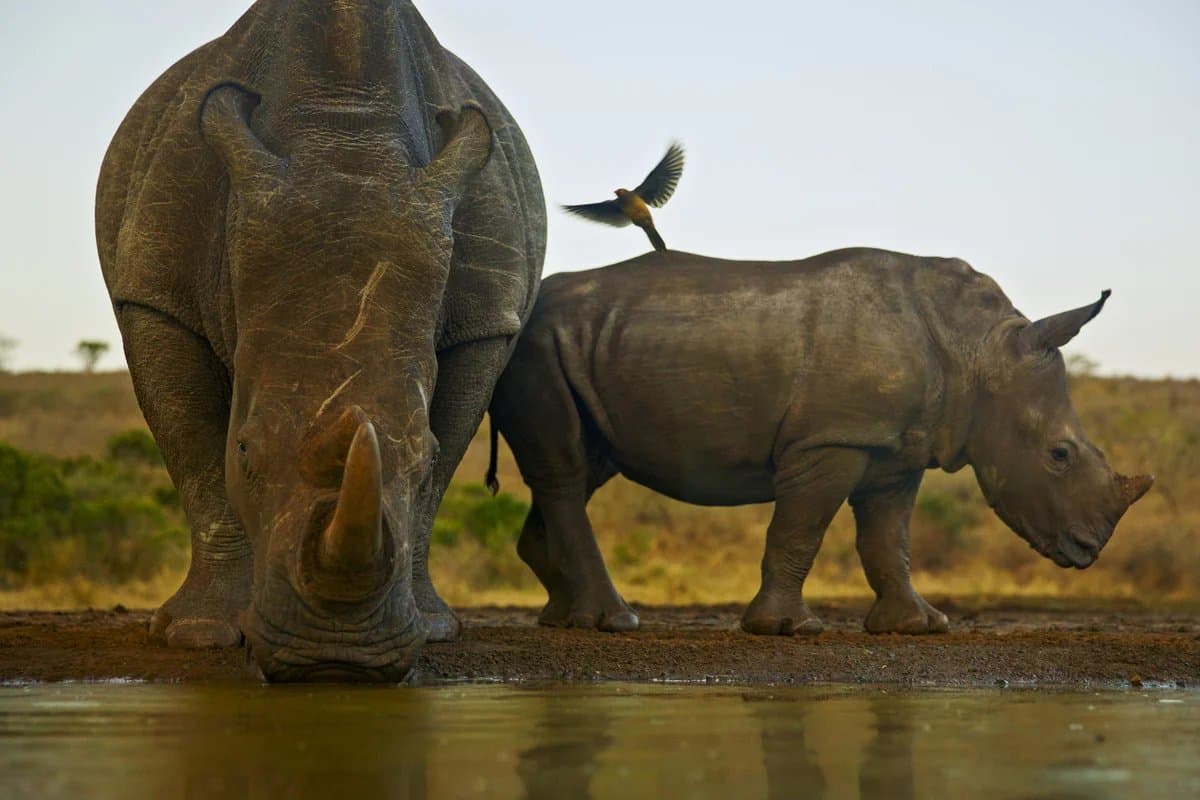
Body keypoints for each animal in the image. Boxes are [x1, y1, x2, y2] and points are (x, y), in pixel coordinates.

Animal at [95, 0, 545, 681]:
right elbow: (195, 453)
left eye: (426, 456)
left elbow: (442, 468)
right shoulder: (153, 291)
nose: (337, 660)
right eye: (246, 451)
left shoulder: (488, 317)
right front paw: (201, 636)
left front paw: (434, 630)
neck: (343, 135)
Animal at [488, 249, 1153, 635]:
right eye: (1059, 456)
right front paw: (787, 629)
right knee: (566, 471)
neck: (979, 351)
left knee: (582, 466)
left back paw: (563, 618)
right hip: (537, 346)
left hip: (574, 346)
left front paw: (919, 626)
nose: (1090, 549)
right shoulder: (832, 440)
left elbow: (889, 540)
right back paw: (613, 620)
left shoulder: (896, 451)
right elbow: (801, 529)